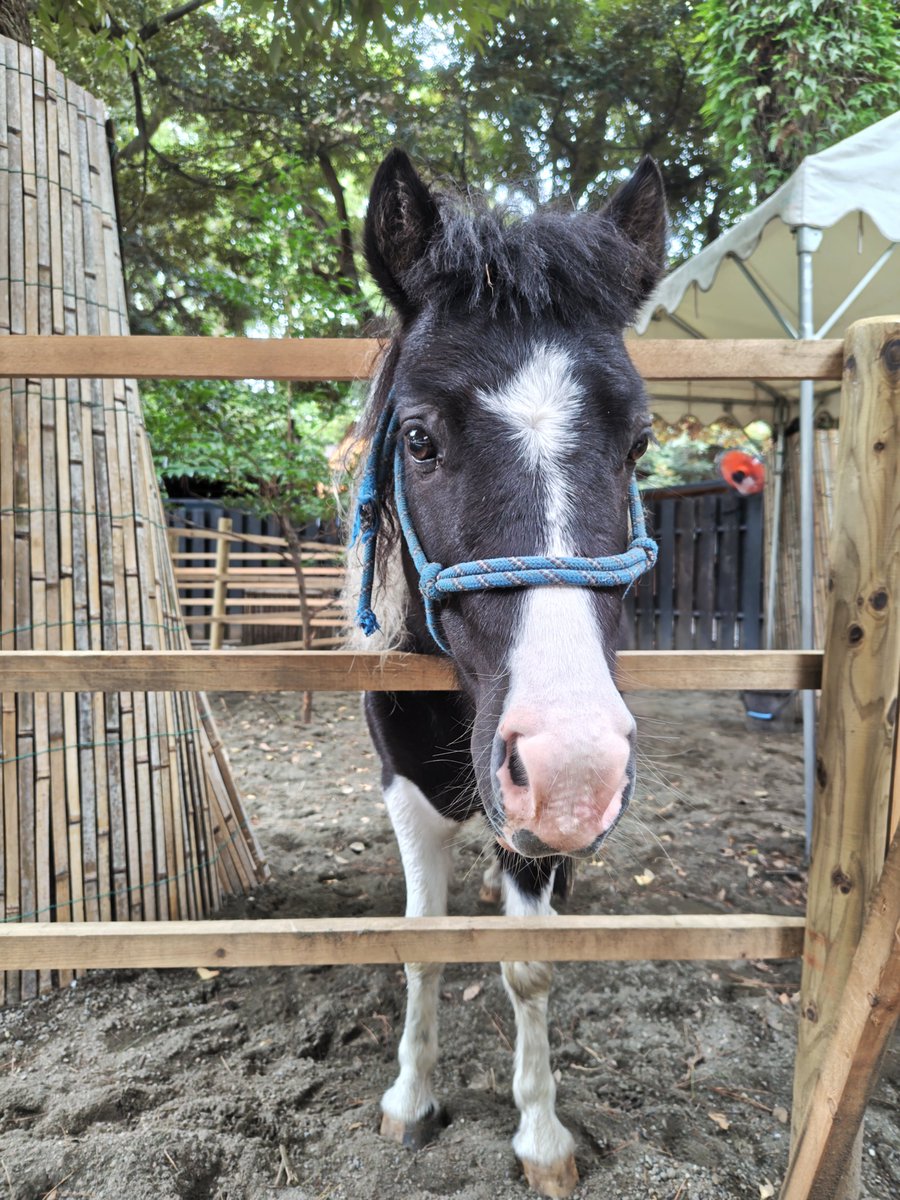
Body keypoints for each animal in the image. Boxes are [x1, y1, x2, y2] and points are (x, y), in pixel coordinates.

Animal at [347, 148, 667, 1198]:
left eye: (639, 441)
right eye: (418, 438)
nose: (572, 768)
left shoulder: (537, 825)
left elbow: (528, 964)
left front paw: (541, 1135)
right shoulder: (404, 785)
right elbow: (422, 951)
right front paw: (412, 1101)